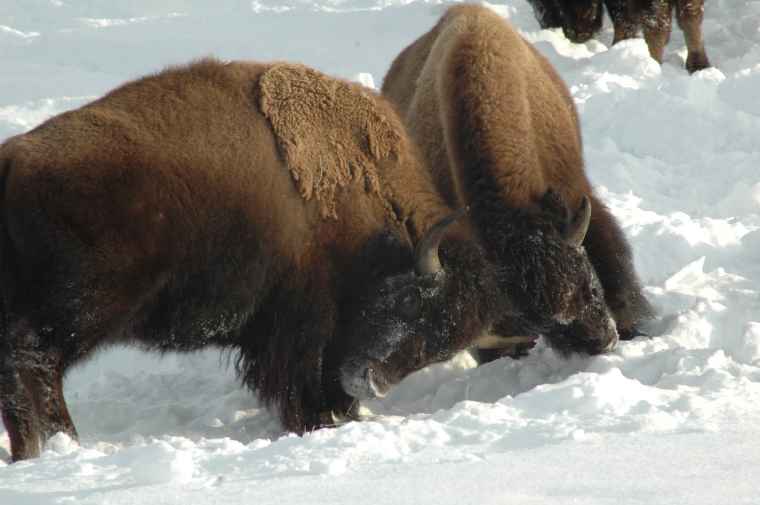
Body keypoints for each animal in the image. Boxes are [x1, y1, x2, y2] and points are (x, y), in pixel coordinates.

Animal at [0, 59, 512, 461]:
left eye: (442, 347)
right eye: (412, 304)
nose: (373, 383)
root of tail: (13, 162)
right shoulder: (302, 326)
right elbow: (302, 377)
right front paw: (320, 420)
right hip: (80, 311)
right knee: (36, 367)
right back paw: (60, 443)